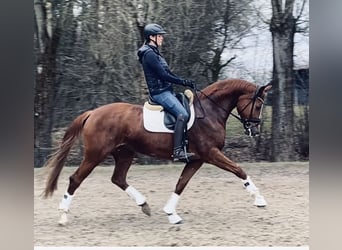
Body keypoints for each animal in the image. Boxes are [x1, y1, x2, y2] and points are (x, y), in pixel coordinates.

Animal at [43, 78, 272, 225]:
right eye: (258, 105)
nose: (255, 130)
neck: (209, 112)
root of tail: (92, 113)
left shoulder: (197, 159)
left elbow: (181, 184)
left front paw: (171, 214)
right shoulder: (211, 153)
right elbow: (239, 170)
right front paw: (259, 199)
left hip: (124, 154)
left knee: (118, 178)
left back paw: (144, 205)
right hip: (94, 155)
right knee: (75, 179)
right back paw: (63, 216)